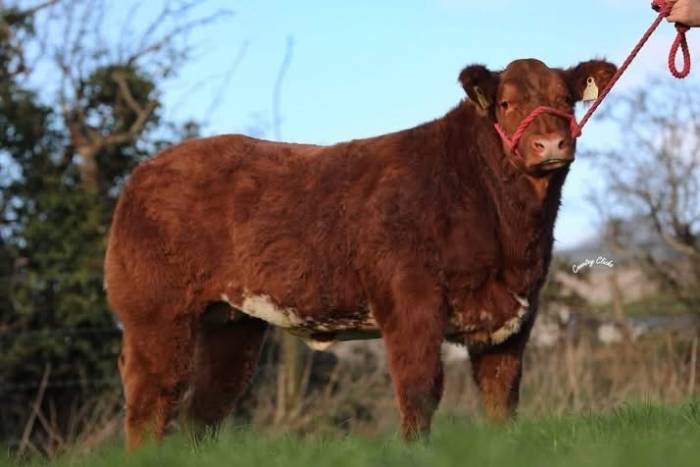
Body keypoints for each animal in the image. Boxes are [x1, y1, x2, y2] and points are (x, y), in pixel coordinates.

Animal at [104, 57, 616, 449]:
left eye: (566, 99)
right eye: (507, 104)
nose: (550, 144)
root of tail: (144, 172)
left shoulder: (514, 317)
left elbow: (501, 399)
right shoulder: (410, 303)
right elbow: (419, 391)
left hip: (232, 323)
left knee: (206, 407)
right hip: (156, 314)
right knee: (151, 398)